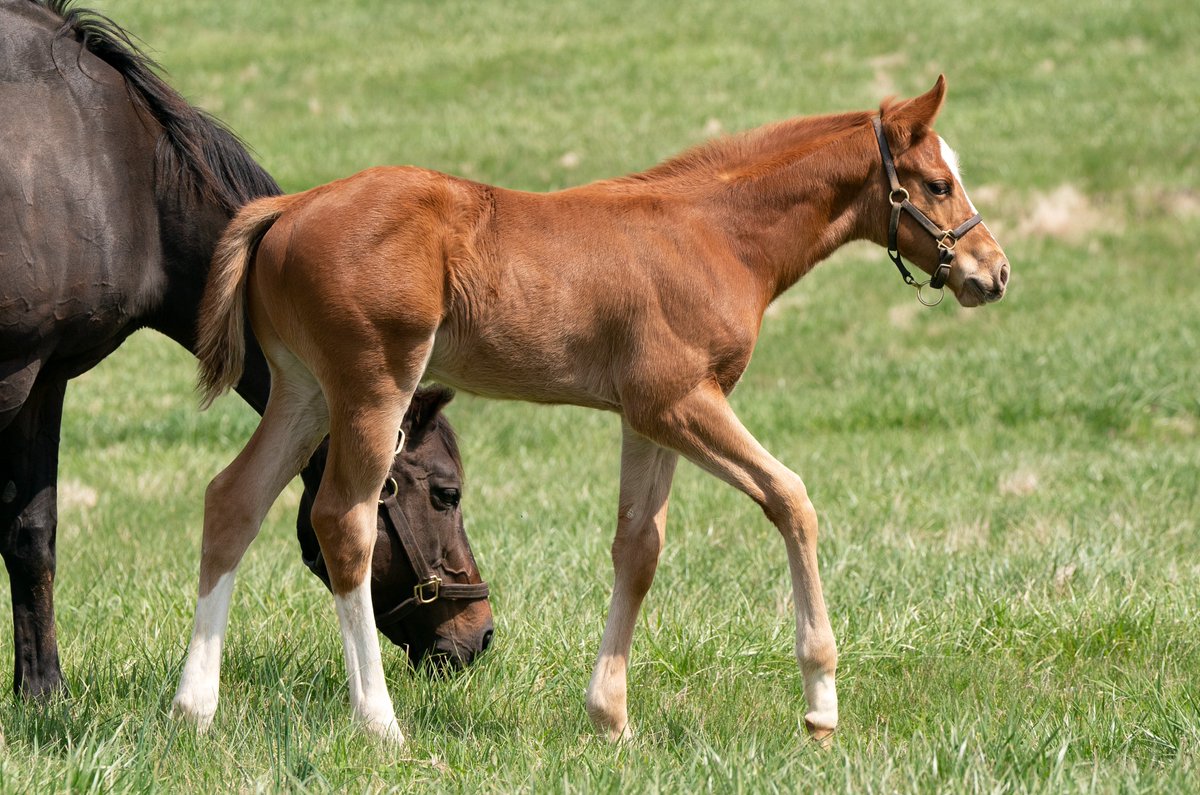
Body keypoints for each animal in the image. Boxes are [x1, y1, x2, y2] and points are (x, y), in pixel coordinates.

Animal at [0, 0, 492, 696]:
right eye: (447, 493)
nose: (480, 634)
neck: (113, 172)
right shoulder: (13, 374)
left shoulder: (46, 378)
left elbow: (31, 533)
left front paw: (43, 693)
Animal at [192, 76, 1008, 749]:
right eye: (937, 184)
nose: (993, 273)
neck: (715, 234)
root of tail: (289, 207)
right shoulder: (680, 400)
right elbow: (791, 498)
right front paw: (820, 706)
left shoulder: (647, 419)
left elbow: (638, 548)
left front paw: (610, 717)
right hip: (370, 387)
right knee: (344, 522)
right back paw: (379, 721)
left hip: (303, 391)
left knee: (234, 499)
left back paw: (193, 708)